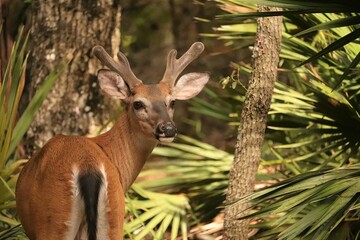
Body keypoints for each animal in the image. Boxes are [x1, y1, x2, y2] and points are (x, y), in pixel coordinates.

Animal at [16, 42, 208, 240]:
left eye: (172, 102)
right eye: (138, 103)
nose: (168, 129)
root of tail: (88, 167)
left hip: (54, 217)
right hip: (114, 215)